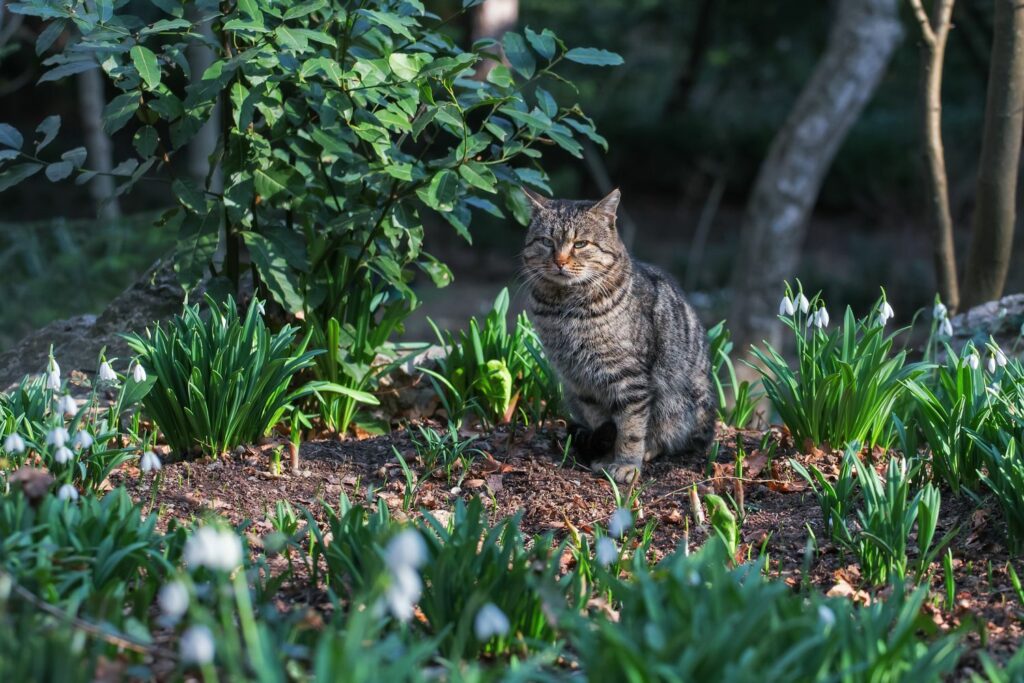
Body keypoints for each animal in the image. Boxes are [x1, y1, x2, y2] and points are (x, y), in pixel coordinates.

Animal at [524, 189, 716, 483]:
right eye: (546, 241)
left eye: (580, 244)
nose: (560, 262)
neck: (563, 309)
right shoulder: (580, 381)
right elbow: (601, 421)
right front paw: (606, 456)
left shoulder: (628, 378)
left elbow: (630, 428)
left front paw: (626, 464)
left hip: (681, 399)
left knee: (675, 438)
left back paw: (649, 449)